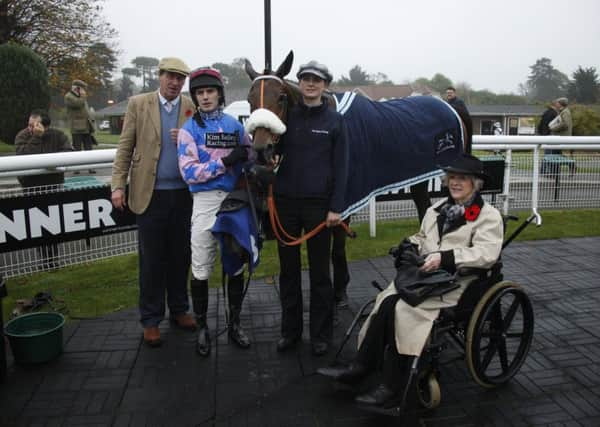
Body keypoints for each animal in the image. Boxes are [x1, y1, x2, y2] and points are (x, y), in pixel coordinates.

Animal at [241, 51, 466, 224]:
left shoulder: (344, 199)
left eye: (281, 98)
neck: (323, 111)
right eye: (250, 99)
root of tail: (448, 106)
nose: (261, 149)